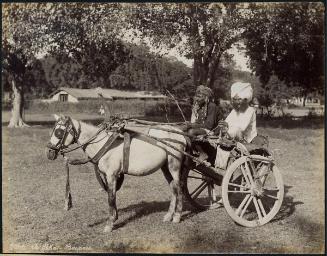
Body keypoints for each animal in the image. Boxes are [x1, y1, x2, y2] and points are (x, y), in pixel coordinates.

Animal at [45, 114, 187, 232]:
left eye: (58, 132)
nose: (49, 153)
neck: (103, 144)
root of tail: (181, 134)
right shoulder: (109, 176)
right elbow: (112, 196)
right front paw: (114, 217)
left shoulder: (111, 175)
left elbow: (111, 198)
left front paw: (109, 224)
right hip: (165, 167)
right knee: (173, 188)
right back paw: (168, 216)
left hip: (174, 165)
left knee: (179, 188)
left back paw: (177, 217)